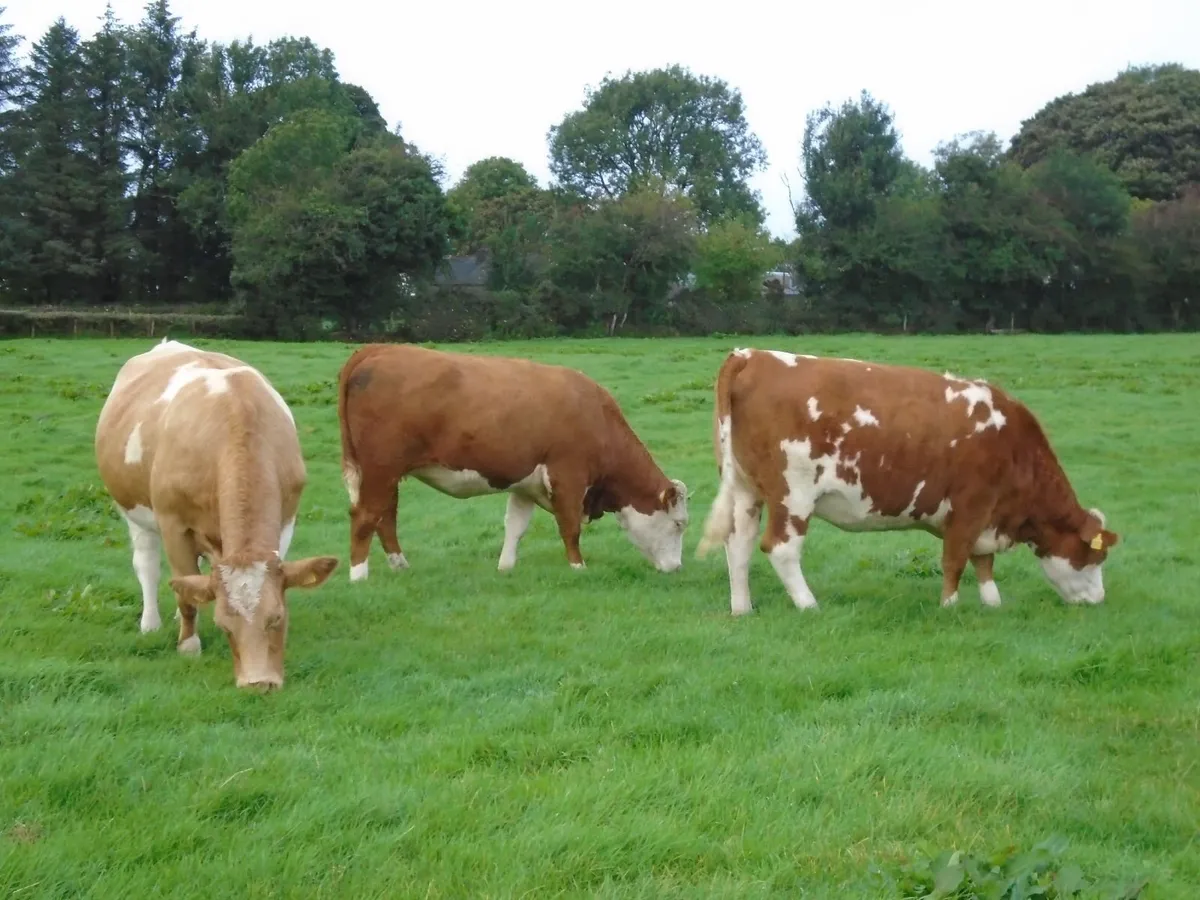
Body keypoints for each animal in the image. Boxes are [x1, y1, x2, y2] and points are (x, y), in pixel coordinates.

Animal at [94, 339, 339, 690]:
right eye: (224, 626)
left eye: (277, 617)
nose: (258, 683)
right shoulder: (173, 525)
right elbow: (183, 596)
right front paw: (188, 646)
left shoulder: (286, 521)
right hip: (133, 512)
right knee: (149, 567)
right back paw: (151, 622)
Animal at [336, 343, 689, 580]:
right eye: (678, 524)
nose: (676, 568)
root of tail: (378, 348)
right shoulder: (569, 477)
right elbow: (570, 527)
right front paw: (578, 566)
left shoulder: (525, 484)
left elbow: (515, 527)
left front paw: (505, 567)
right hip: (380, 469)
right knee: (365, 517)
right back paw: (359, 576)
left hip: (386, 474)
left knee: (386, 517)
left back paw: (400, 565)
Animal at [695, 348, 1120, 615]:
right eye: (1094, 557)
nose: (1100, 599)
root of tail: (752, 355)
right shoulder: (971, 506)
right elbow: (955, 560)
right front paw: (949, 607)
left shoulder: (985, 515)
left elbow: (983, 561)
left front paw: (992, 603)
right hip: (793, 495)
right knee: (781, 548)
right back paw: (809, 604)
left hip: (745, 490)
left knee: (739, 544)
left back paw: (742, 608)